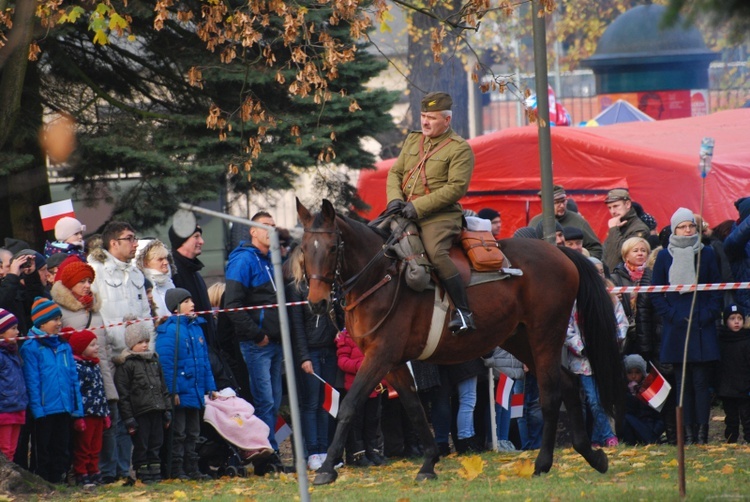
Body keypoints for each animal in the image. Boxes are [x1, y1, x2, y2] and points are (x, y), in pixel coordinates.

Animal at [296, 198, 624, 484]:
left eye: (332, 247)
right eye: (303, 249)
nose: (316, 303)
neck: (380, 278)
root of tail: (559, 253)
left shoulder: (381, 356)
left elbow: (349, 405)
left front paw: (326, 469)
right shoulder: (393, 362)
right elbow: (414, 408)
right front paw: (429, 462)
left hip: (545, 334)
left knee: (551, 392)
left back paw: (544, 462)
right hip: (519, 339)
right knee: (567, 382)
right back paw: (590, 455)